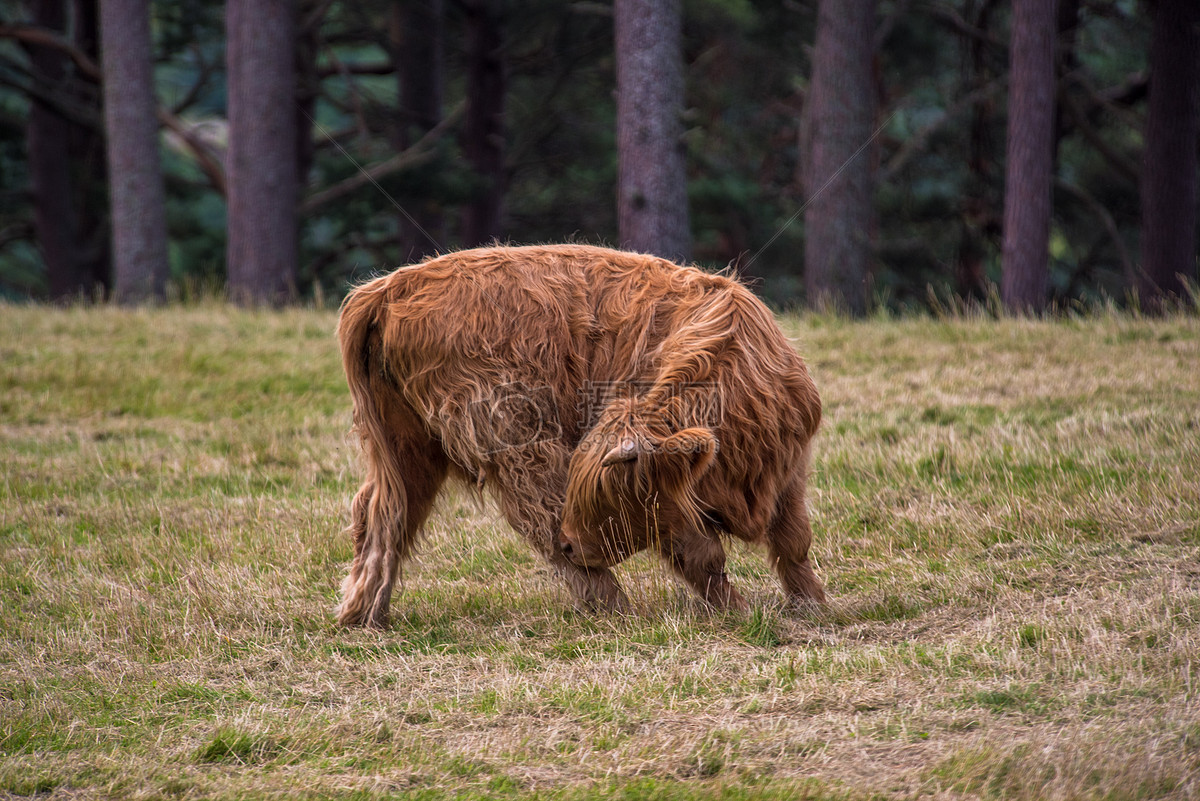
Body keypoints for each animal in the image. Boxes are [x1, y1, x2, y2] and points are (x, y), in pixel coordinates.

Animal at [336, 244, 825, 623]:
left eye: (612, 497)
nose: (573, 544)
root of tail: (390, 287)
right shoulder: (676, 502)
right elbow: (702, 554)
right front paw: (736, 611)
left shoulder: (789, 469)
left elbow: (793, 540)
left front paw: (812, 604)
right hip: (517, 440)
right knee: (538, 520)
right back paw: (617, 608)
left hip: (407, 445)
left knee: (381, 515)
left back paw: (364, 615)